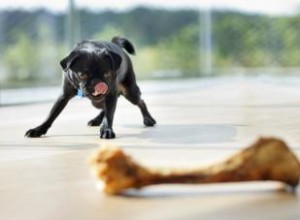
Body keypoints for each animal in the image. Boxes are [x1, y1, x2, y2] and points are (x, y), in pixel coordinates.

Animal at [25, 36, 157, 139]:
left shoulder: (111, 94)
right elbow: (51, 115)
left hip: (129, 92)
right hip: (97, 101)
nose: (98, 83)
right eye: (83, 75)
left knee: (140, 102)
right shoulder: (63, 96)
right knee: (103, 108)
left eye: (107, 74)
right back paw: (97, 120)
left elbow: (109, 115)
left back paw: (148, 119)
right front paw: (39, 129)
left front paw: (107, 129)